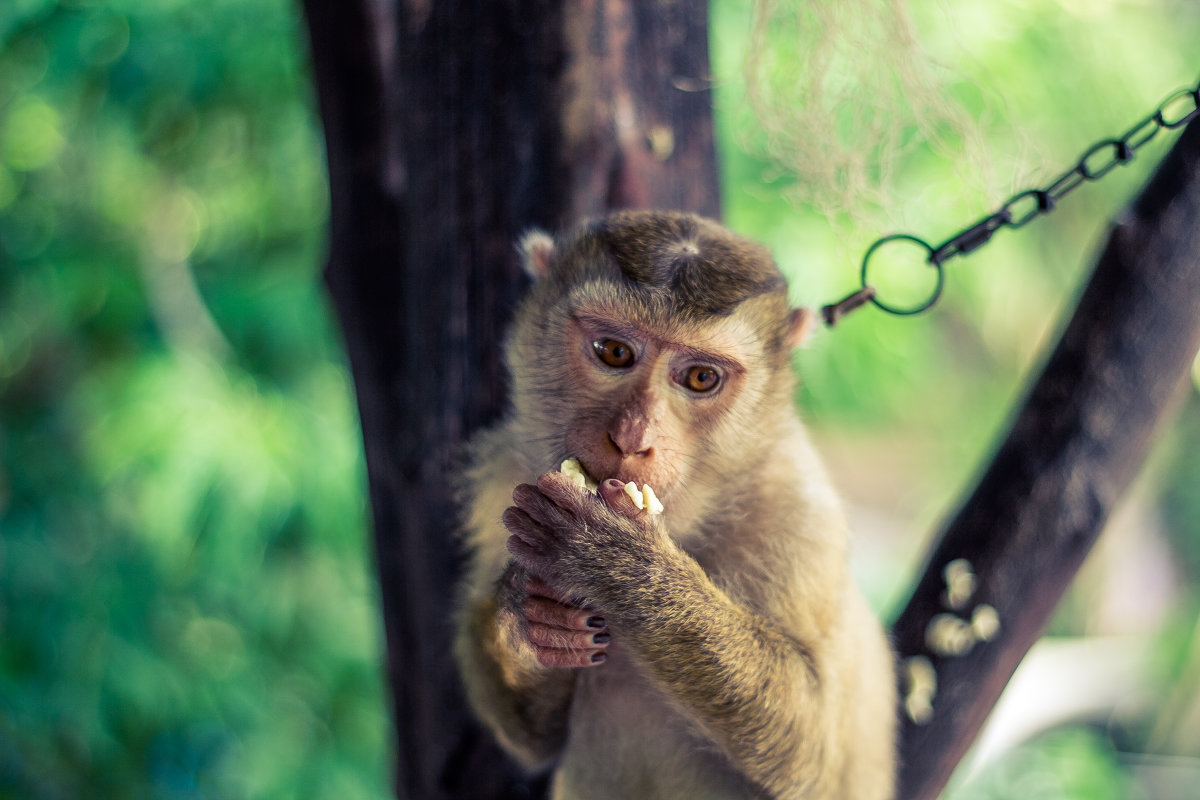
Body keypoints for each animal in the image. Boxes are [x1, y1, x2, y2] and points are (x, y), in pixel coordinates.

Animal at [453, 209, 897, 796]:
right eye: (614, 352)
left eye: (701, 378)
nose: (631, 439)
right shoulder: (500, 478)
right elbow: (537, 739)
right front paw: (528, 611)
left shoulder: (800, 517)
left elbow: (812, 759)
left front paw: (620, 564)